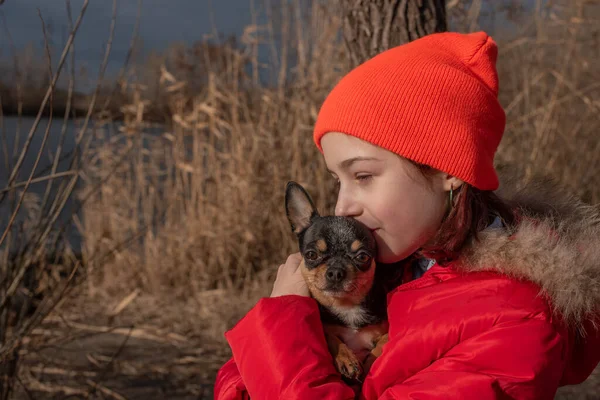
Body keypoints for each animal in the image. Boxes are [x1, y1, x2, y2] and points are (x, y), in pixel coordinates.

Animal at [286, 181, 394, 382]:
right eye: (311, 255)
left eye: (362, 257)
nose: (336, 271)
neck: (345, 305)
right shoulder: (324, 328)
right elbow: (329, 336)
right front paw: (346, 358)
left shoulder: (382, 329)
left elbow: (384, 341)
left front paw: (370, 361)